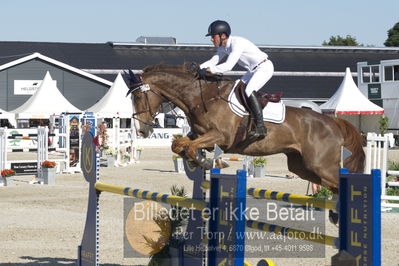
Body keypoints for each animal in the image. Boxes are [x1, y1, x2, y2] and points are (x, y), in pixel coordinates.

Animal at [127, 63, 366, 190]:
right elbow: (179, 146)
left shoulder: (221, 137)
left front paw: (208, 162)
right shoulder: (199, 135)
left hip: (320, 165)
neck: (201, 97)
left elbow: (192, 147)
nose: (142, 130)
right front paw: (203, 162)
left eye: (138, 96)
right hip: (301, 165)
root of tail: (332, 121)